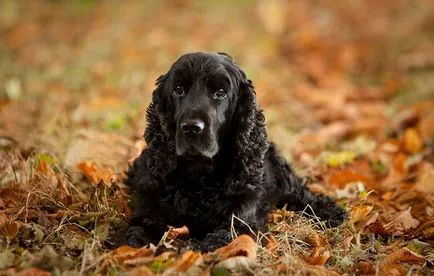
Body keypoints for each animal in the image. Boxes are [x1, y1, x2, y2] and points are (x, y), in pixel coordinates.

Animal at [124, 52, 346, 252]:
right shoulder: (148, 208)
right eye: (179, 89)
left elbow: (215, 240)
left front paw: (184, 248)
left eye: (220, 92)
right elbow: (136, 232)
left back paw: (331, 213)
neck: (199, 174)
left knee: (302, 194)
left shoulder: (241, 222)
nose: (191, 128)